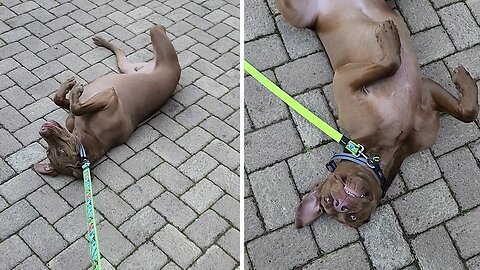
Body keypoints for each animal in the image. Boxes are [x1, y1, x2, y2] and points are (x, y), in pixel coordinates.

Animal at [34, 24, 180, 177]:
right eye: (55, 151)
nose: (42, 130)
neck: (86, 140)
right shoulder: (110, 94)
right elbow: (75, 107)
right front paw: (74, 89)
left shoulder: (109, 96)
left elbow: (64, 102)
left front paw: (70, 87)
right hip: (136, 63)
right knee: (144, 37)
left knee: (152, 31)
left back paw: (101, 41)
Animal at [276, 0, 478, 228]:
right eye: (330, 202)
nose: (341, 204)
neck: (389, 146)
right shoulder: (345, 79)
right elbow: (392, 63)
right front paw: (389, 39)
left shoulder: (423, 94)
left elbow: (467, 112)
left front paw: (463, 80)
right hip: (300, 17)